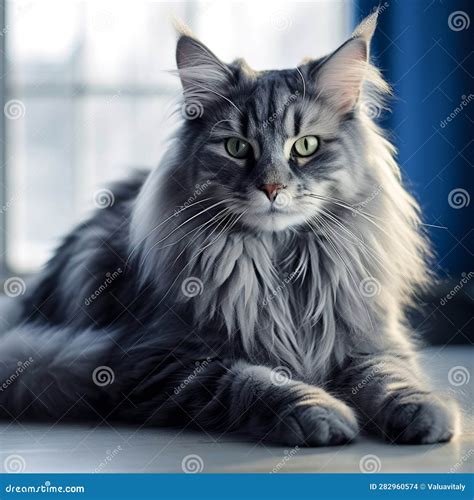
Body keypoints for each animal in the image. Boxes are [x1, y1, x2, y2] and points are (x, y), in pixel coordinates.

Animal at [0, 12, 460, 446]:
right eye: (237, 148)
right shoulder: (159, 361)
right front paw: (319, 413)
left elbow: (391, 377)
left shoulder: (374, 340)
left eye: (306, 146)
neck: (278, 265)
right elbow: (256, 382)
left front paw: (425, 413)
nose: (272, 187)